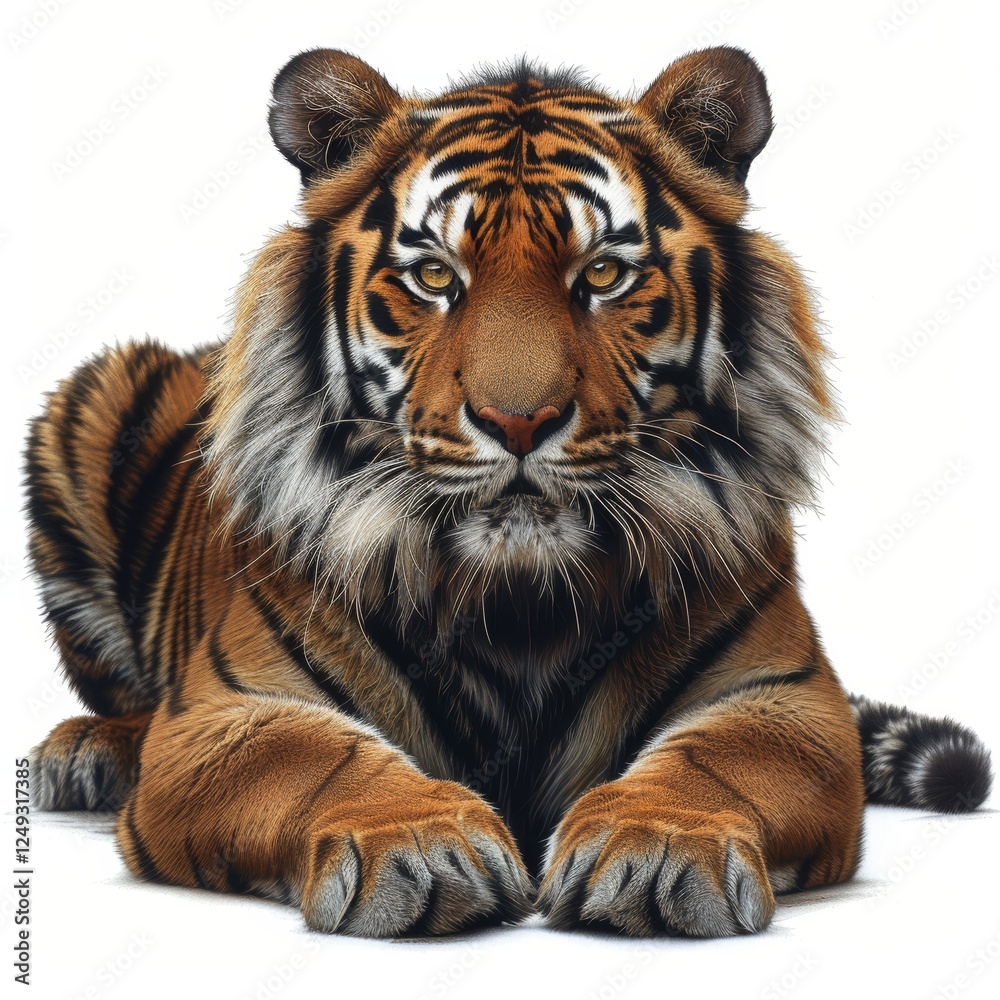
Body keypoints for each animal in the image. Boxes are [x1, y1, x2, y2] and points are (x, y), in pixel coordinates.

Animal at [26, 45, 992, 939]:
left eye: (602, 274)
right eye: (434, 277)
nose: (518, 421)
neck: (519, 599)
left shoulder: (786, 698)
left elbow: (711, 762)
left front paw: (657, 845)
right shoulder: (225, 711)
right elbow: (317, 759)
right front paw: (417, 842)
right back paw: (88, 755)